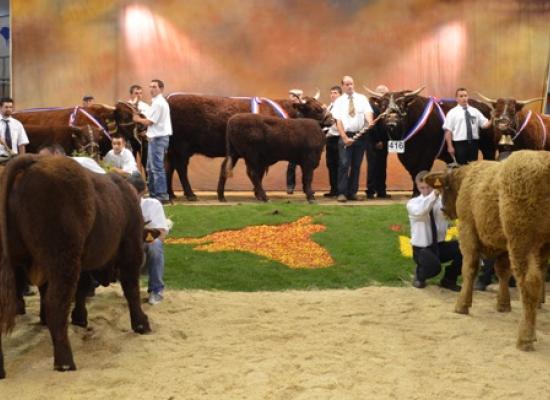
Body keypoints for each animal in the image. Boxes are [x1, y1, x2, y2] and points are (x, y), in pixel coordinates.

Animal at [0, 154, 151, 378]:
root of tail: (32, 161)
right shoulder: (130, 247)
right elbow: (131, 288)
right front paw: (141, 323)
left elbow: (80, 289)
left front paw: (79, 318)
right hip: (63, 258)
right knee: (56, 303)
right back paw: (65, 362)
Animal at [164, 92, 330, 202]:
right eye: (316, 109)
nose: (331, 119)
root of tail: (169, 99)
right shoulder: (261, 155)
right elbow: (258, 173)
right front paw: (258, 193)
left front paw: (257, 192)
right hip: (182, 148)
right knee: (180, 169)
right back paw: (190, 194)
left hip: (173, 150)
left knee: (168, 167)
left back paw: (171, 194)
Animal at [426, 150, 550, 350]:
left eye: (445, 187)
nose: (444, 210)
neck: (467, 178)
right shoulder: (503, 244)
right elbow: (502, 272)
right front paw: (503, 304)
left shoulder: (467, 229)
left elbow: (469, 268)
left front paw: (462, 305)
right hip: (540, 246)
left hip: (522, 242)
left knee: (530, 283)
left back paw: (525, 338)